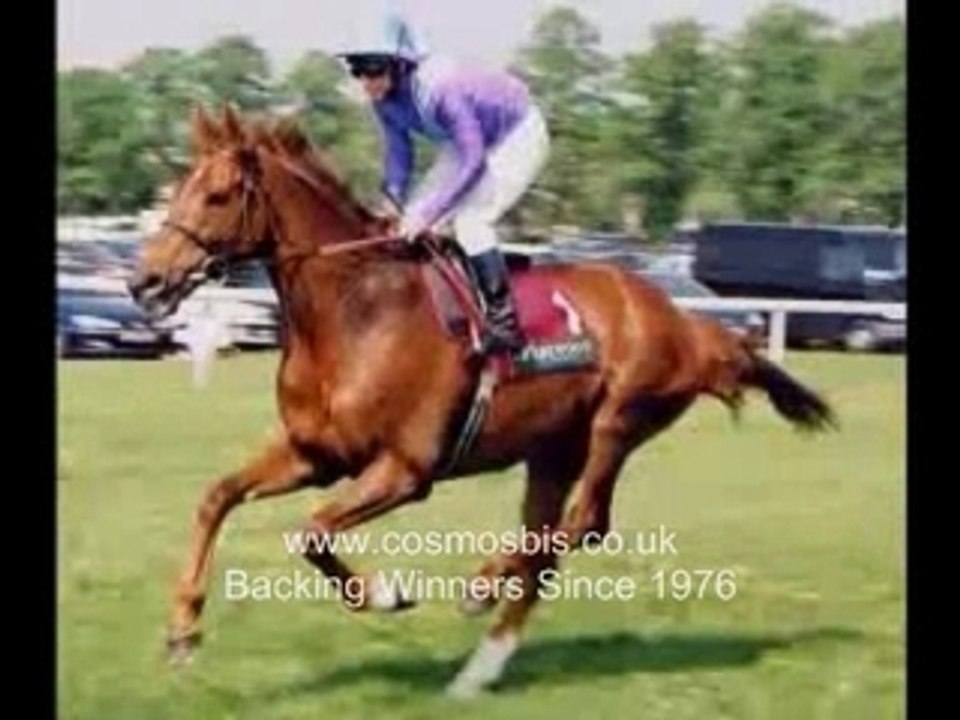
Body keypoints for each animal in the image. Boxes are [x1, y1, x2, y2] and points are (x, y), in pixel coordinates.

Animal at [128, 106, 836, 697]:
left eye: (217, 194)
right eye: (178, 188)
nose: (145, 282)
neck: (356, 311)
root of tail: (687, 320)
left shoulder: (405, 469)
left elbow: (312, 531)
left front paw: (387, 594)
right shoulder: (315, 453)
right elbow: (217, 497)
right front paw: (183, 631)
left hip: (617, 422)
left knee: (578, 525)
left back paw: (481, 586)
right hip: (552, 450)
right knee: (550, 538)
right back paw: (479, 669)